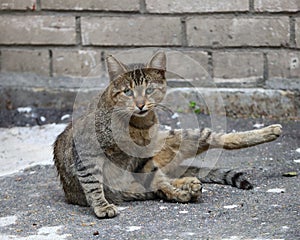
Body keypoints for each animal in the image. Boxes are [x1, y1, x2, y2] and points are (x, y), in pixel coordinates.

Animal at [53, 51, 282, 218]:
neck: (139, 126)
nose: (140, 104)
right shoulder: (86, 152)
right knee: (165, 179)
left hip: (180, 138)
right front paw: (101, 205)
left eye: (149, 90)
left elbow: (158, 179)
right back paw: (187, 186)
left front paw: (180, 192)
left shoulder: (143, 160)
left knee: (214, 140)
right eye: (127, 92)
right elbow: (93, 183)